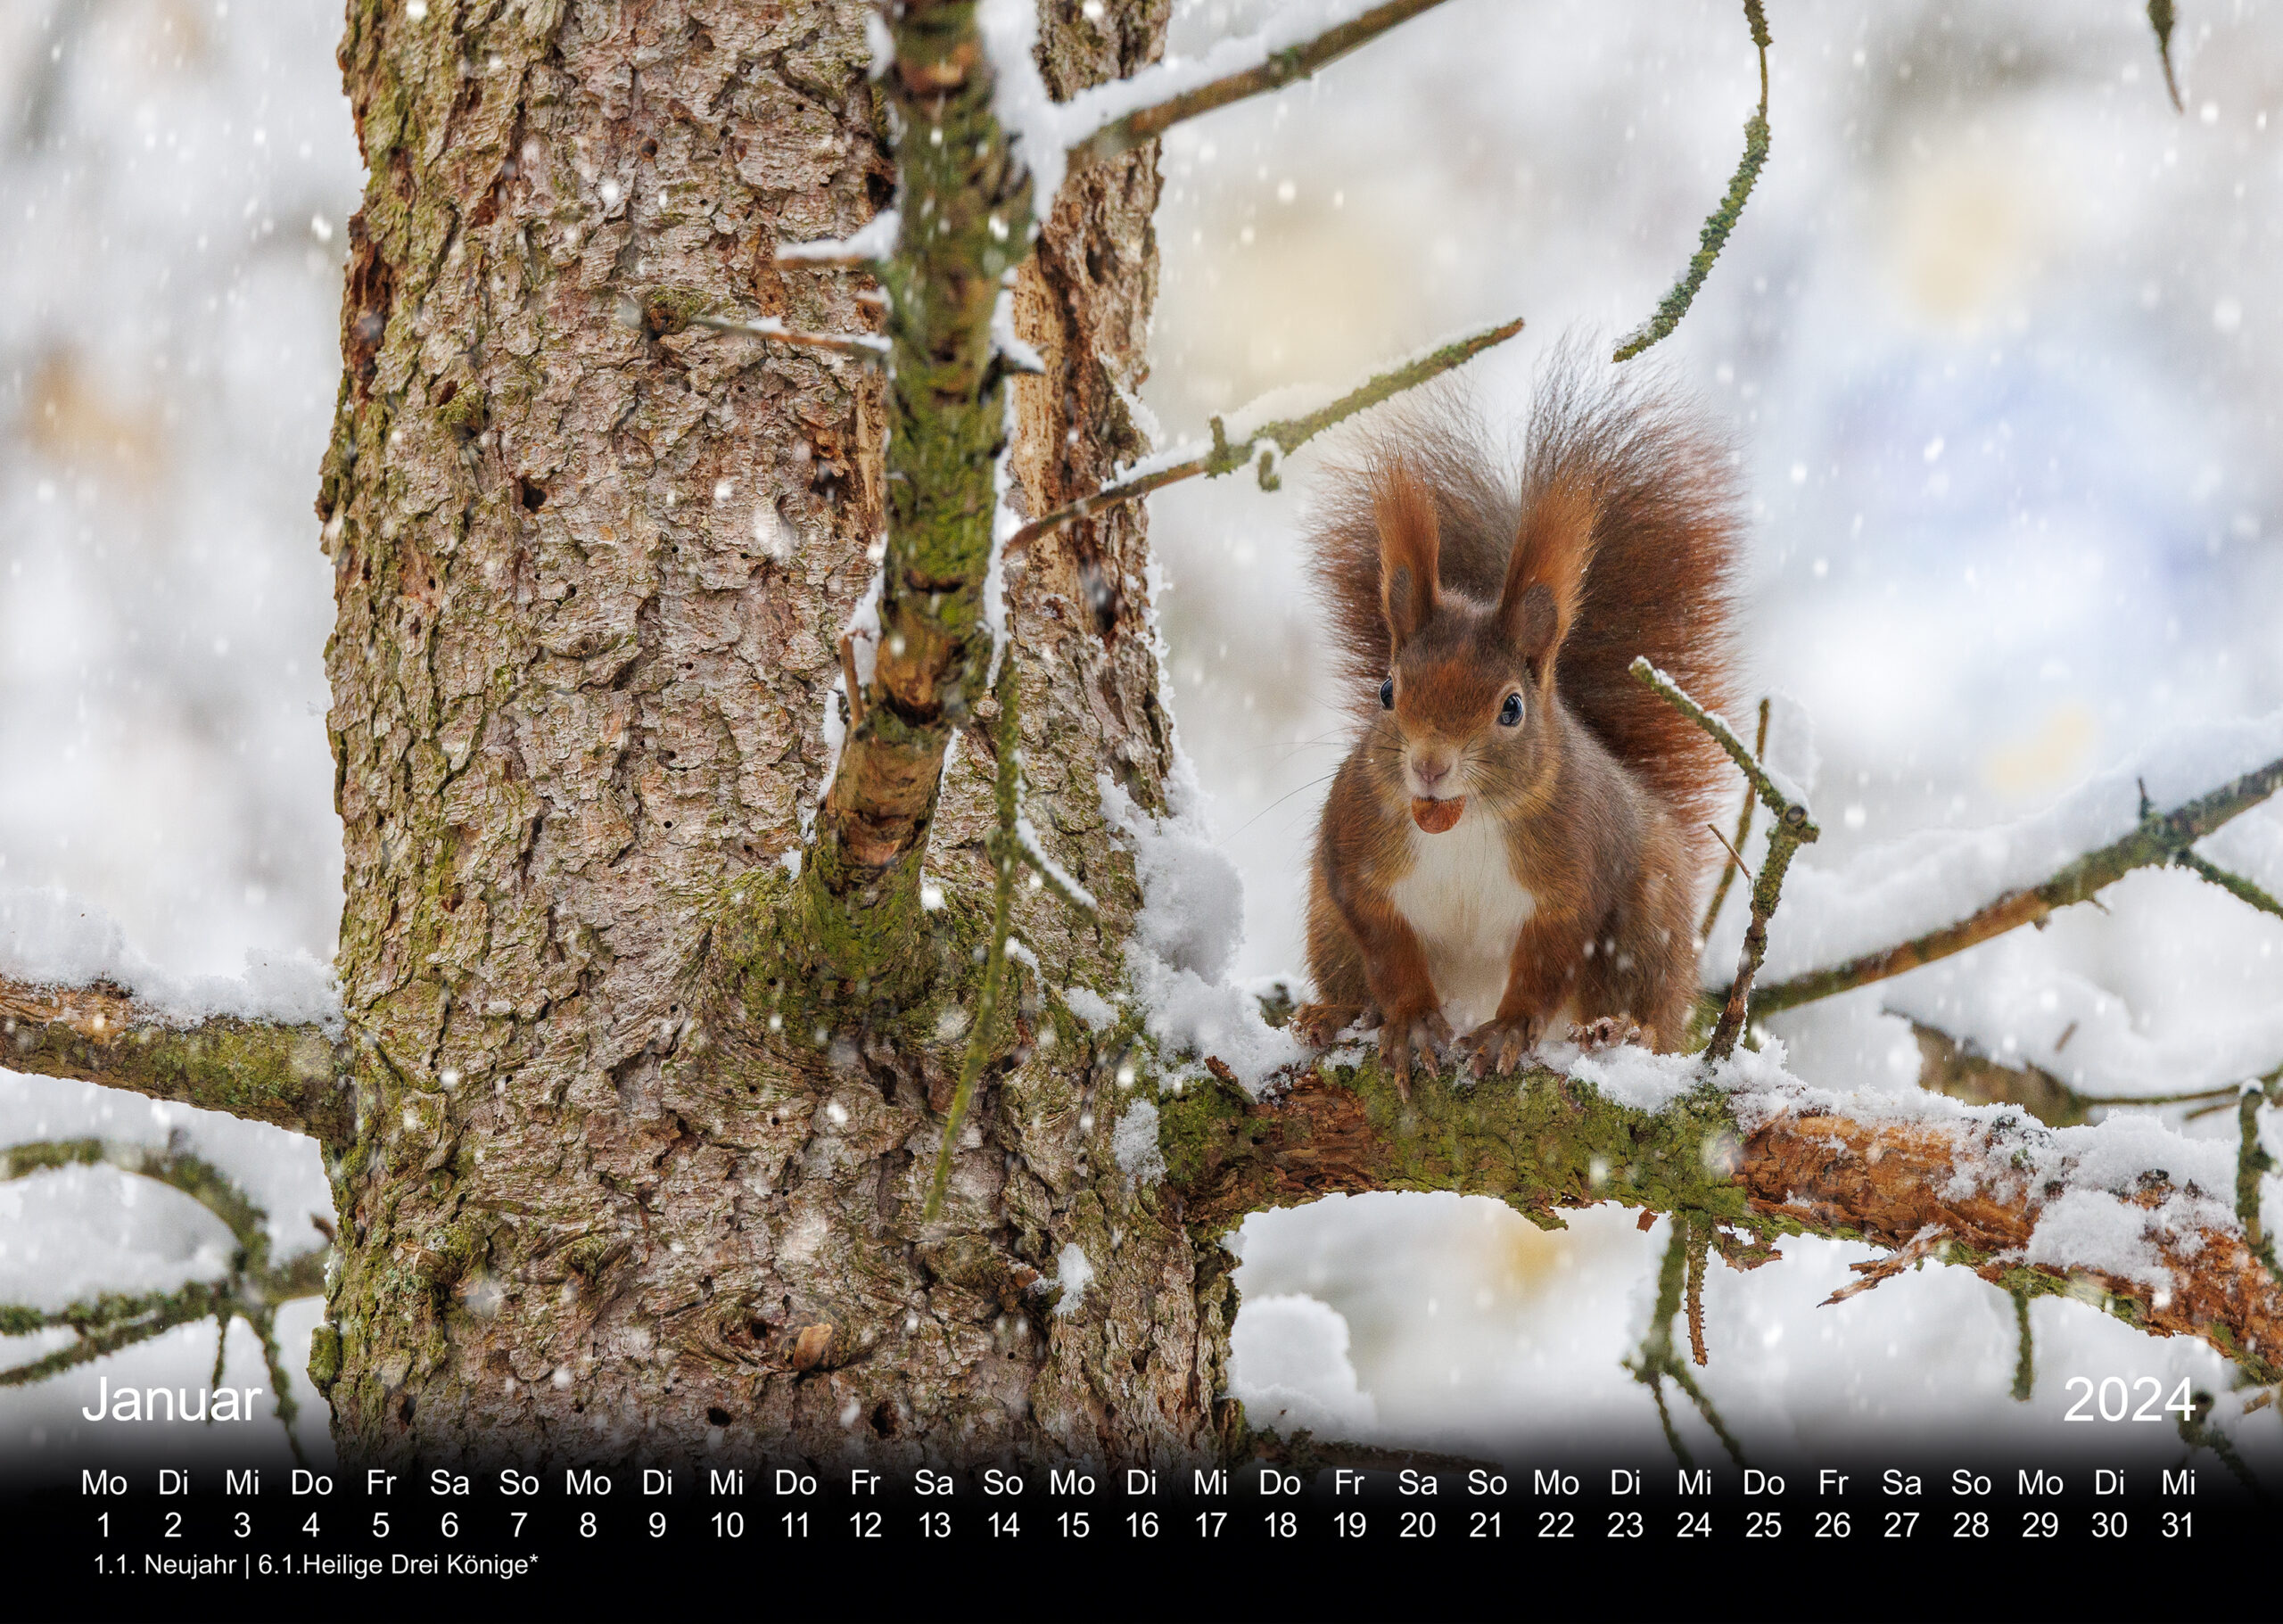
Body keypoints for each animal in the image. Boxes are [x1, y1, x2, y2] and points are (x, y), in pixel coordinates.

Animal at [1297, 372, 1735, 1092]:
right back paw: (1336, 1016)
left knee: (1656, 1014)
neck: (1459, 823)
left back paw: (1624, 1029)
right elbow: (1388, 950)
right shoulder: (1355, 855)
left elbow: (1548, 961)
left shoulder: (1572, 873)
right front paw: (1411, 1022)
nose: (1430, 765)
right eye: (1387, 691)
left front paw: (1506, 1031)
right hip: (1325, 926)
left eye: (1511, 709)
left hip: (1650, 918)